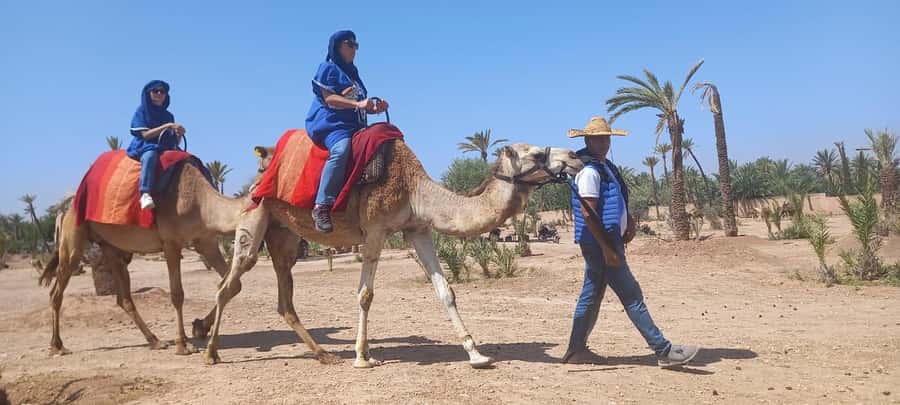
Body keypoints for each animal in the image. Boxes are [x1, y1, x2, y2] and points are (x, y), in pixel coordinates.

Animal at [37, 148, 336, 360]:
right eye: (270, 163)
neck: (200, 202)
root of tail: (66, 207)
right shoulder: (171, 243)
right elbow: (178, 294)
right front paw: (183, 344)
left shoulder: (206, 241)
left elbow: (232, 284)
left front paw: (199, 328)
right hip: (74, 238)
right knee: (57, 290)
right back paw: (57, 346)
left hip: (112, 247)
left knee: (124, 298)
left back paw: (155, 340)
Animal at [203, 141, 584, 368]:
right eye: (536, 154)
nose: (575, 156)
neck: (415, 190)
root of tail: (260, 171)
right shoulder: (374, 230)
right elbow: (365, 295)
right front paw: (363, 357)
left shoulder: (417, 229)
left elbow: (446, 291)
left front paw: (477, 354)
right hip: (256, 216)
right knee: (229, 284)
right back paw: (210, 352)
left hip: (283, 234)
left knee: (283, 296)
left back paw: (325, 354)